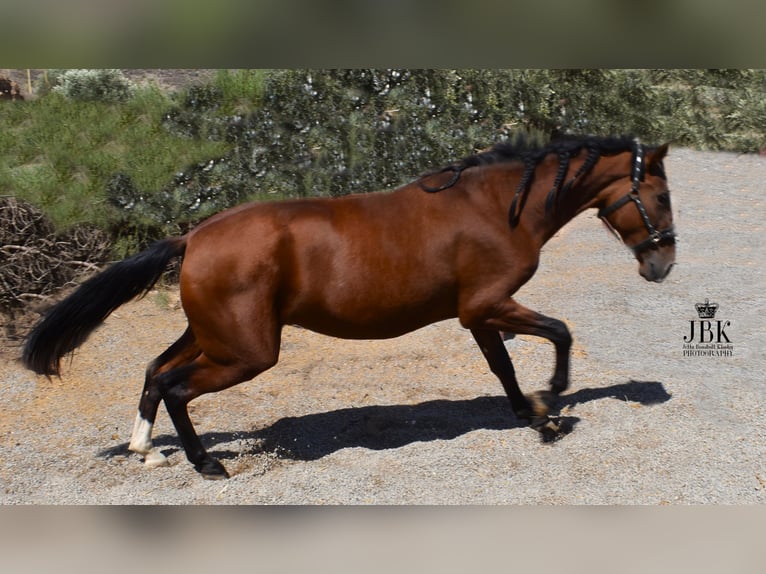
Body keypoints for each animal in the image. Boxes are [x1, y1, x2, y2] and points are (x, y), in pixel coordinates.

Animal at [21, 136, 676, 482]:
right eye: (661, 196)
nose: (662, 264)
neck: (496, 208)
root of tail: (194, 237)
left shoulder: (477, 313)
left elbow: (504, 367)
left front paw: (533, 413)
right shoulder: (489, 304)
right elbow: (559, 332)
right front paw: (553, 405)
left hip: (212, 336)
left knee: (156, 372)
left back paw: (144, 449)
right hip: (245, 352)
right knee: (178, 388)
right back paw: (207, 465)